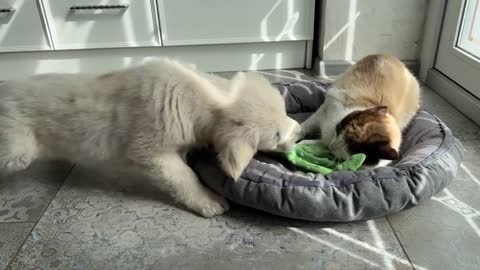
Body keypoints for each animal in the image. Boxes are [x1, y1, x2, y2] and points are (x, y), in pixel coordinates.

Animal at [0, 58, 300, 217]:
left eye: (285, 111)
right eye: (275, 135)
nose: (300, 133)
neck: (203, 97)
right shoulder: (151, 153)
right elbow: (184, 177)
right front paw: (208, 200)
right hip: (17, 151)